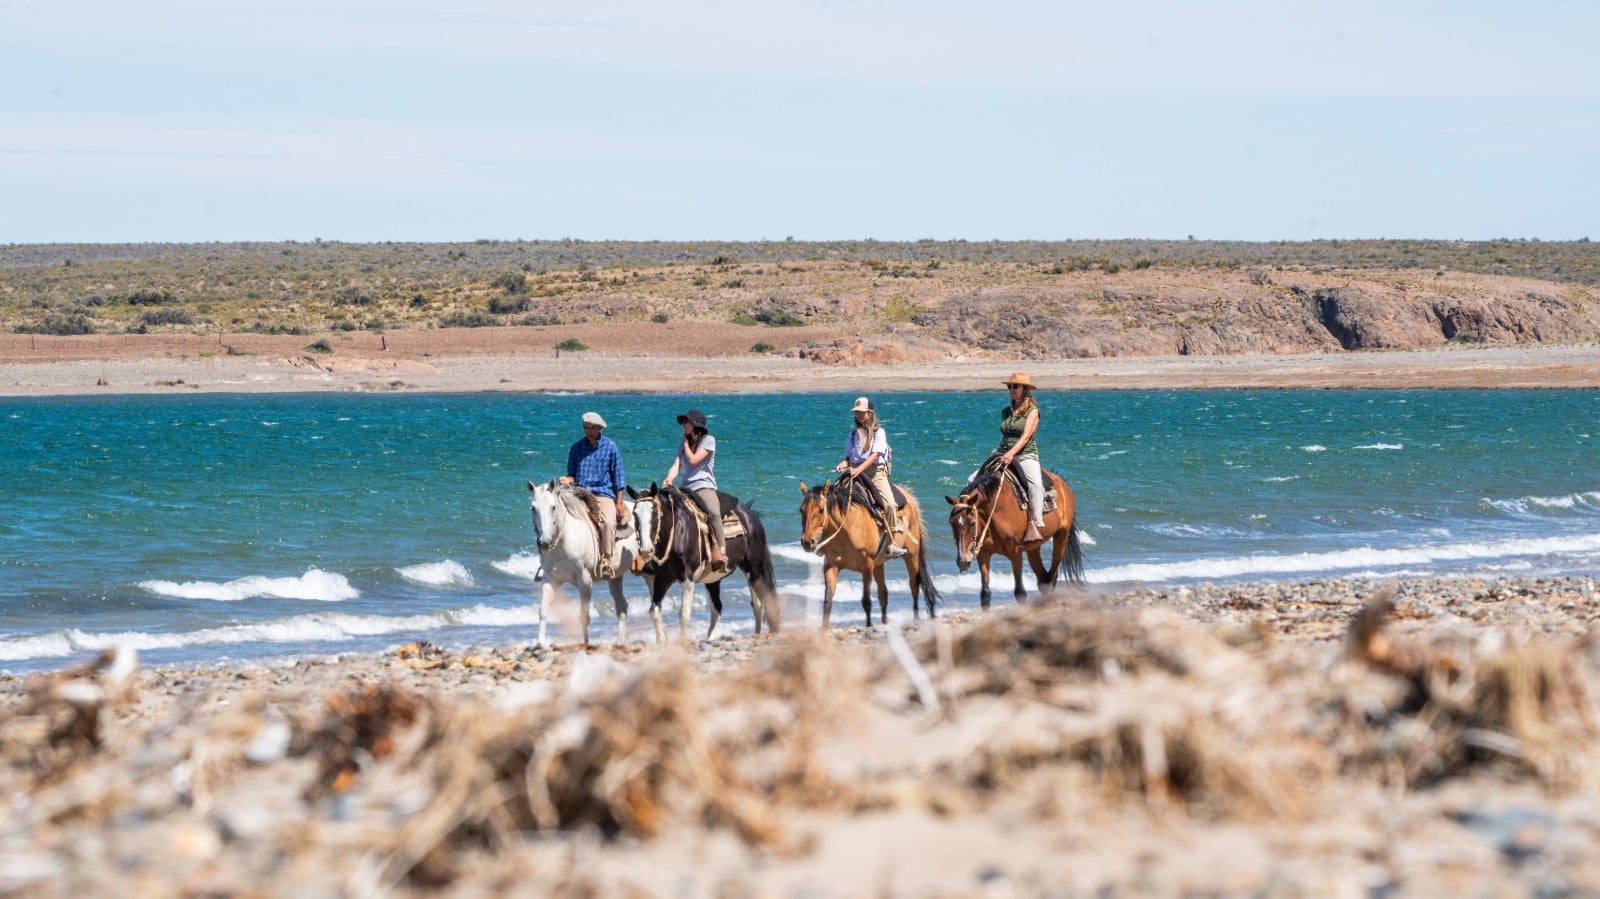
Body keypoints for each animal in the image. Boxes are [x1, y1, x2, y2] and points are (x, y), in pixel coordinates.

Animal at [531, 476, 643, 643]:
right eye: (533, 508)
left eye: (553, 507)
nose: (544, 542)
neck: (565, 540)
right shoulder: (550, 579)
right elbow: (543, 611)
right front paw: (540, 643)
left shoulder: (585, 581)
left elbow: (584, 616)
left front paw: (586, 644)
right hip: (615, 577)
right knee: (622, 607)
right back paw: (620, 642)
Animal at [624, 479, 780, 639]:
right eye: (635, 514)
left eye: (654, 512)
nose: (646, 550)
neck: (678, 532)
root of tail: (751, 515)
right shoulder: (662, 578)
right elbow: (653, 611)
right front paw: (662, 640)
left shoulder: (687, 578)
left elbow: (684, 615)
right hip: (714, 579)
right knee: (718, 608)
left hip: (753, 569)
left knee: (759, 603)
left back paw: (757, 635)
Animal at [796, 473, 934, 627]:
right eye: (801, 510)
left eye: (821, 510)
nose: (807, 542)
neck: (848, 529)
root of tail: (909, 497)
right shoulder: (831, 565)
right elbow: (827, 601)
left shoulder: (867, 567)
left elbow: (866, 602)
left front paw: (868, 626)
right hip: (879, 563)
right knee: (883, 593)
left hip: (912, 556)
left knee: (914, 587)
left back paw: (916, 620)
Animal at [940, 460, 1081, 601]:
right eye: (951, 523)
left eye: (973, 523)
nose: (963, 561)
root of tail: (1063, 484)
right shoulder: (983, 554)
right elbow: (985, 594)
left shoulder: (1015, 553)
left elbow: (1020, 592)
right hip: (1033, 547)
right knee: (1043, 579)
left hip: (1061, 536)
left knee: (1052, 576)